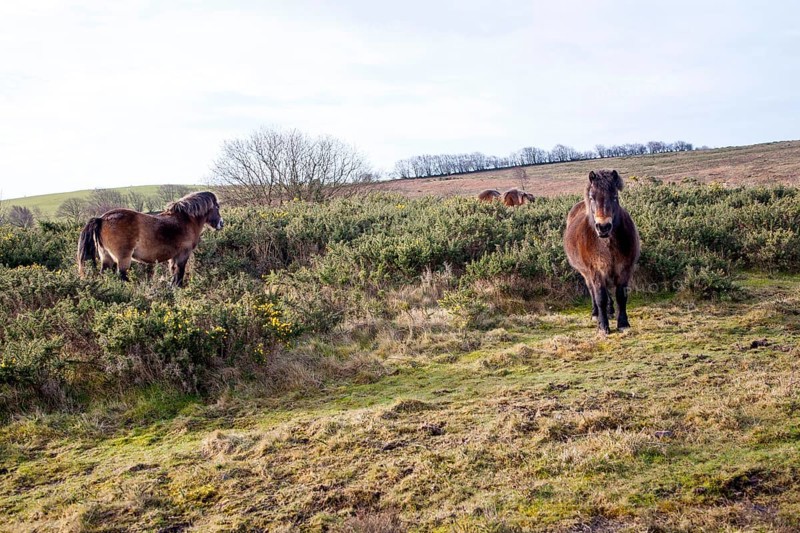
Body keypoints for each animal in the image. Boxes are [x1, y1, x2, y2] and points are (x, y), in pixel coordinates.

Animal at [77, 191, 224, 287]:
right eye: (217, 207)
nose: (221, 223)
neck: (186, 219)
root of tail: (102, 219)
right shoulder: (183, 254)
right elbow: (180, 272)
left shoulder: (174, 256)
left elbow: (173, 272)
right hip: (123, 257)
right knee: (121, 275)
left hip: (106, 257)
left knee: (105, 274)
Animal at [563, 170, 640, 334]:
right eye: (592, 197)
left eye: (615, 196)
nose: (603, 227)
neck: (606, 244)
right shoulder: (596, 271)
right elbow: (600, 298)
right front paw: (603, 326)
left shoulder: (624, 269)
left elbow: (620, 296)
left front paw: (623, 323)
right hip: (586, 273)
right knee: (592, 291)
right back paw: (595, 314)